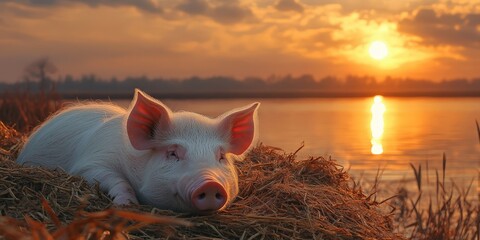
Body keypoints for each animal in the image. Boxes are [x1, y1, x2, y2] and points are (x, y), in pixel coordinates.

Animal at [16, 89, 260, 213]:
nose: (210, 184)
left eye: (220, 157)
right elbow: (116, 180)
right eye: (172, 153)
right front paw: (126, 204)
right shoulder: (91, 162)